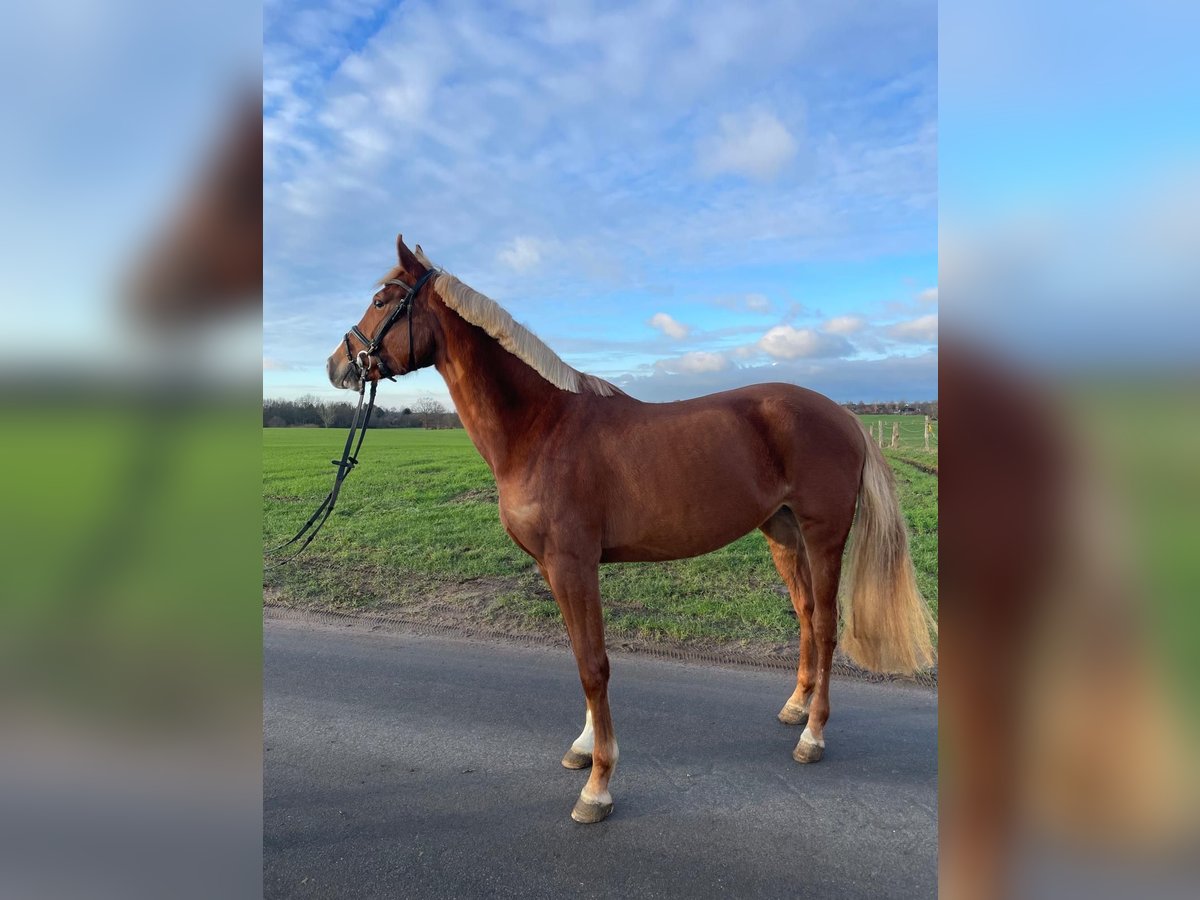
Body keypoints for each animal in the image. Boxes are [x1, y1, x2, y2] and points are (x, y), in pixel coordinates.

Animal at [328, 237, 936, 825]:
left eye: (381, 301)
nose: (338, 365)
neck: (541, 428)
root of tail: (845, 415)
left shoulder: (573, 564)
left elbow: (594, 665)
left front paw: (598, 786)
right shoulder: (555, 568)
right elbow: (580, 656)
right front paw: (583, 747)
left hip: (824, 536)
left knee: (828, 626)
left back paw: (813, 735)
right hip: (783, 535)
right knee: (807, 616)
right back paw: (796, 708)